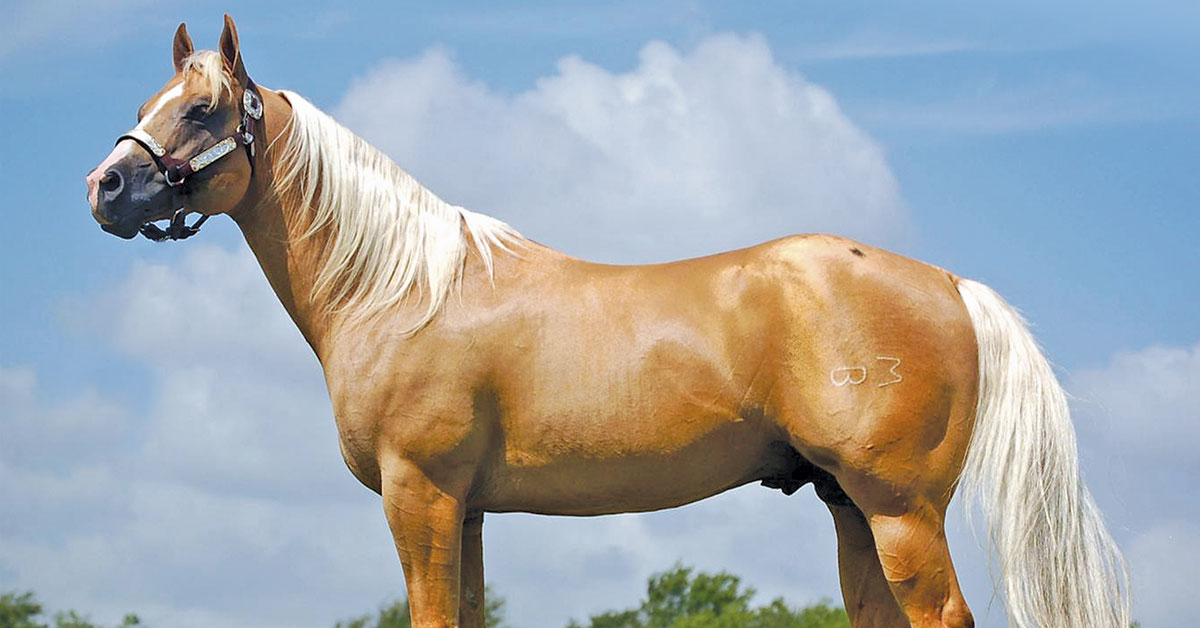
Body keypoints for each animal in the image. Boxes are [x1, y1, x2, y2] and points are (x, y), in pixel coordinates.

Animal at [84, 16, 1129, 628]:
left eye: (203, 110)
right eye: (146, 102)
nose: (106, 187)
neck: (401, 290)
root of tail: (951, 284)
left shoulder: (419, 494)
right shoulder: (462, 509)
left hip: (899, 509)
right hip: (851, 509)